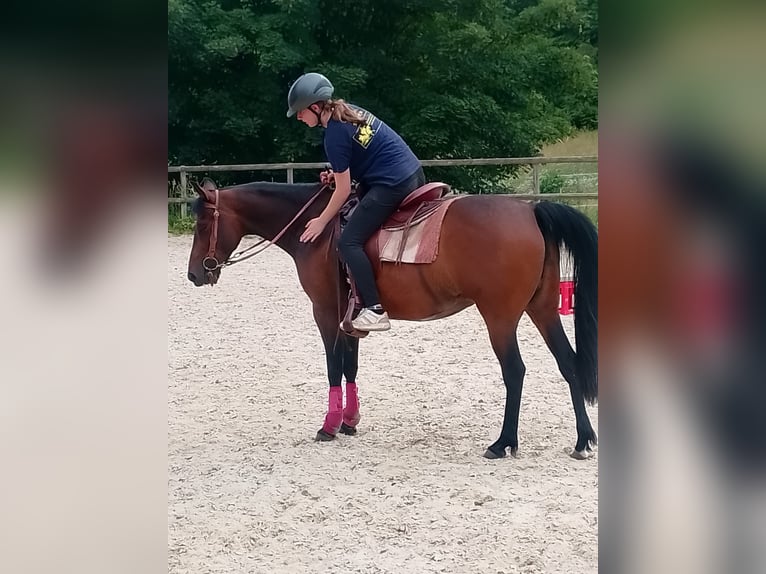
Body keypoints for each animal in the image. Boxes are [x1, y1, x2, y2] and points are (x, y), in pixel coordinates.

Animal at [186, 177, 598, 459]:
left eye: (203, 225)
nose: (194, 274)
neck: (319, 227)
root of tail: (530, 210)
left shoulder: (325, 312)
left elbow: (333, 366)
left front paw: (329, 426)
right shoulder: (349, 317)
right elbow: (350, 365)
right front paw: (349, 422)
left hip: (500, 317)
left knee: (515, 371)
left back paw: (503, 442)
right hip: (542, 309)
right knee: (569, 363)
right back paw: (583, 440)